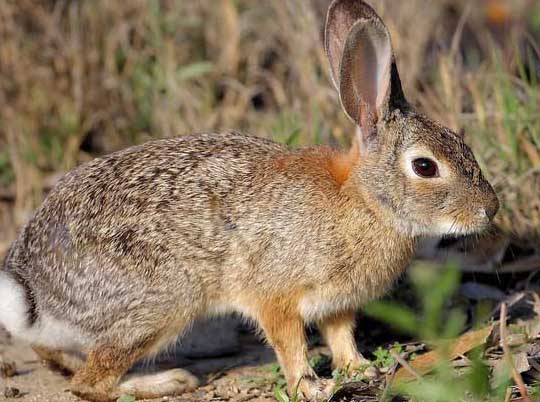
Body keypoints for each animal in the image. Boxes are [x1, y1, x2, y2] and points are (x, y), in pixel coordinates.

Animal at [0, 0, 498, 400]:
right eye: (425, 167)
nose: (489, 209)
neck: (364, 201)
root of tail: (34, 288)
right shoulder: (275, 294)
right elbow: (289, 343)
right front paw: (311, 387)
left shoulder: (336, 304)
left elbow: (340, 336)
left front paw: (358, 368)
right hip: (161, 302)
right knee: (90, 383)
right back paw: (166, 381)